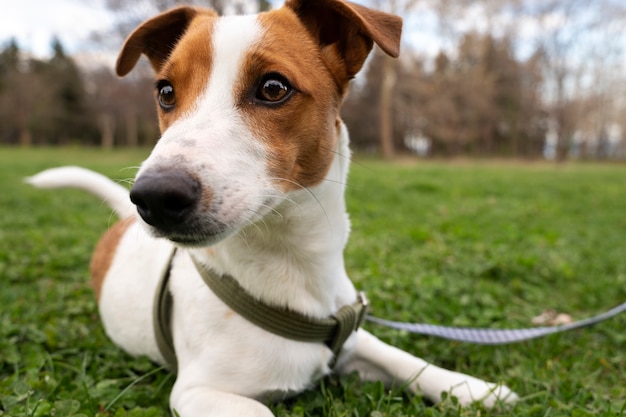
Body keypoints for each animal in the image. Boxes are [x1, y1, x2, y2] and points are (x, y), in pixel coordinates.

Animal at [29, 1, 516, 414]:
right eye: (165, 92)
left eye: (273, 87)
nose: (153, 196)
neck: (291, 264)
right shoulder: (198, 392)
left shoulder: (347, 334)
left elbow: (402, 358)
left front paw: (476, 389)